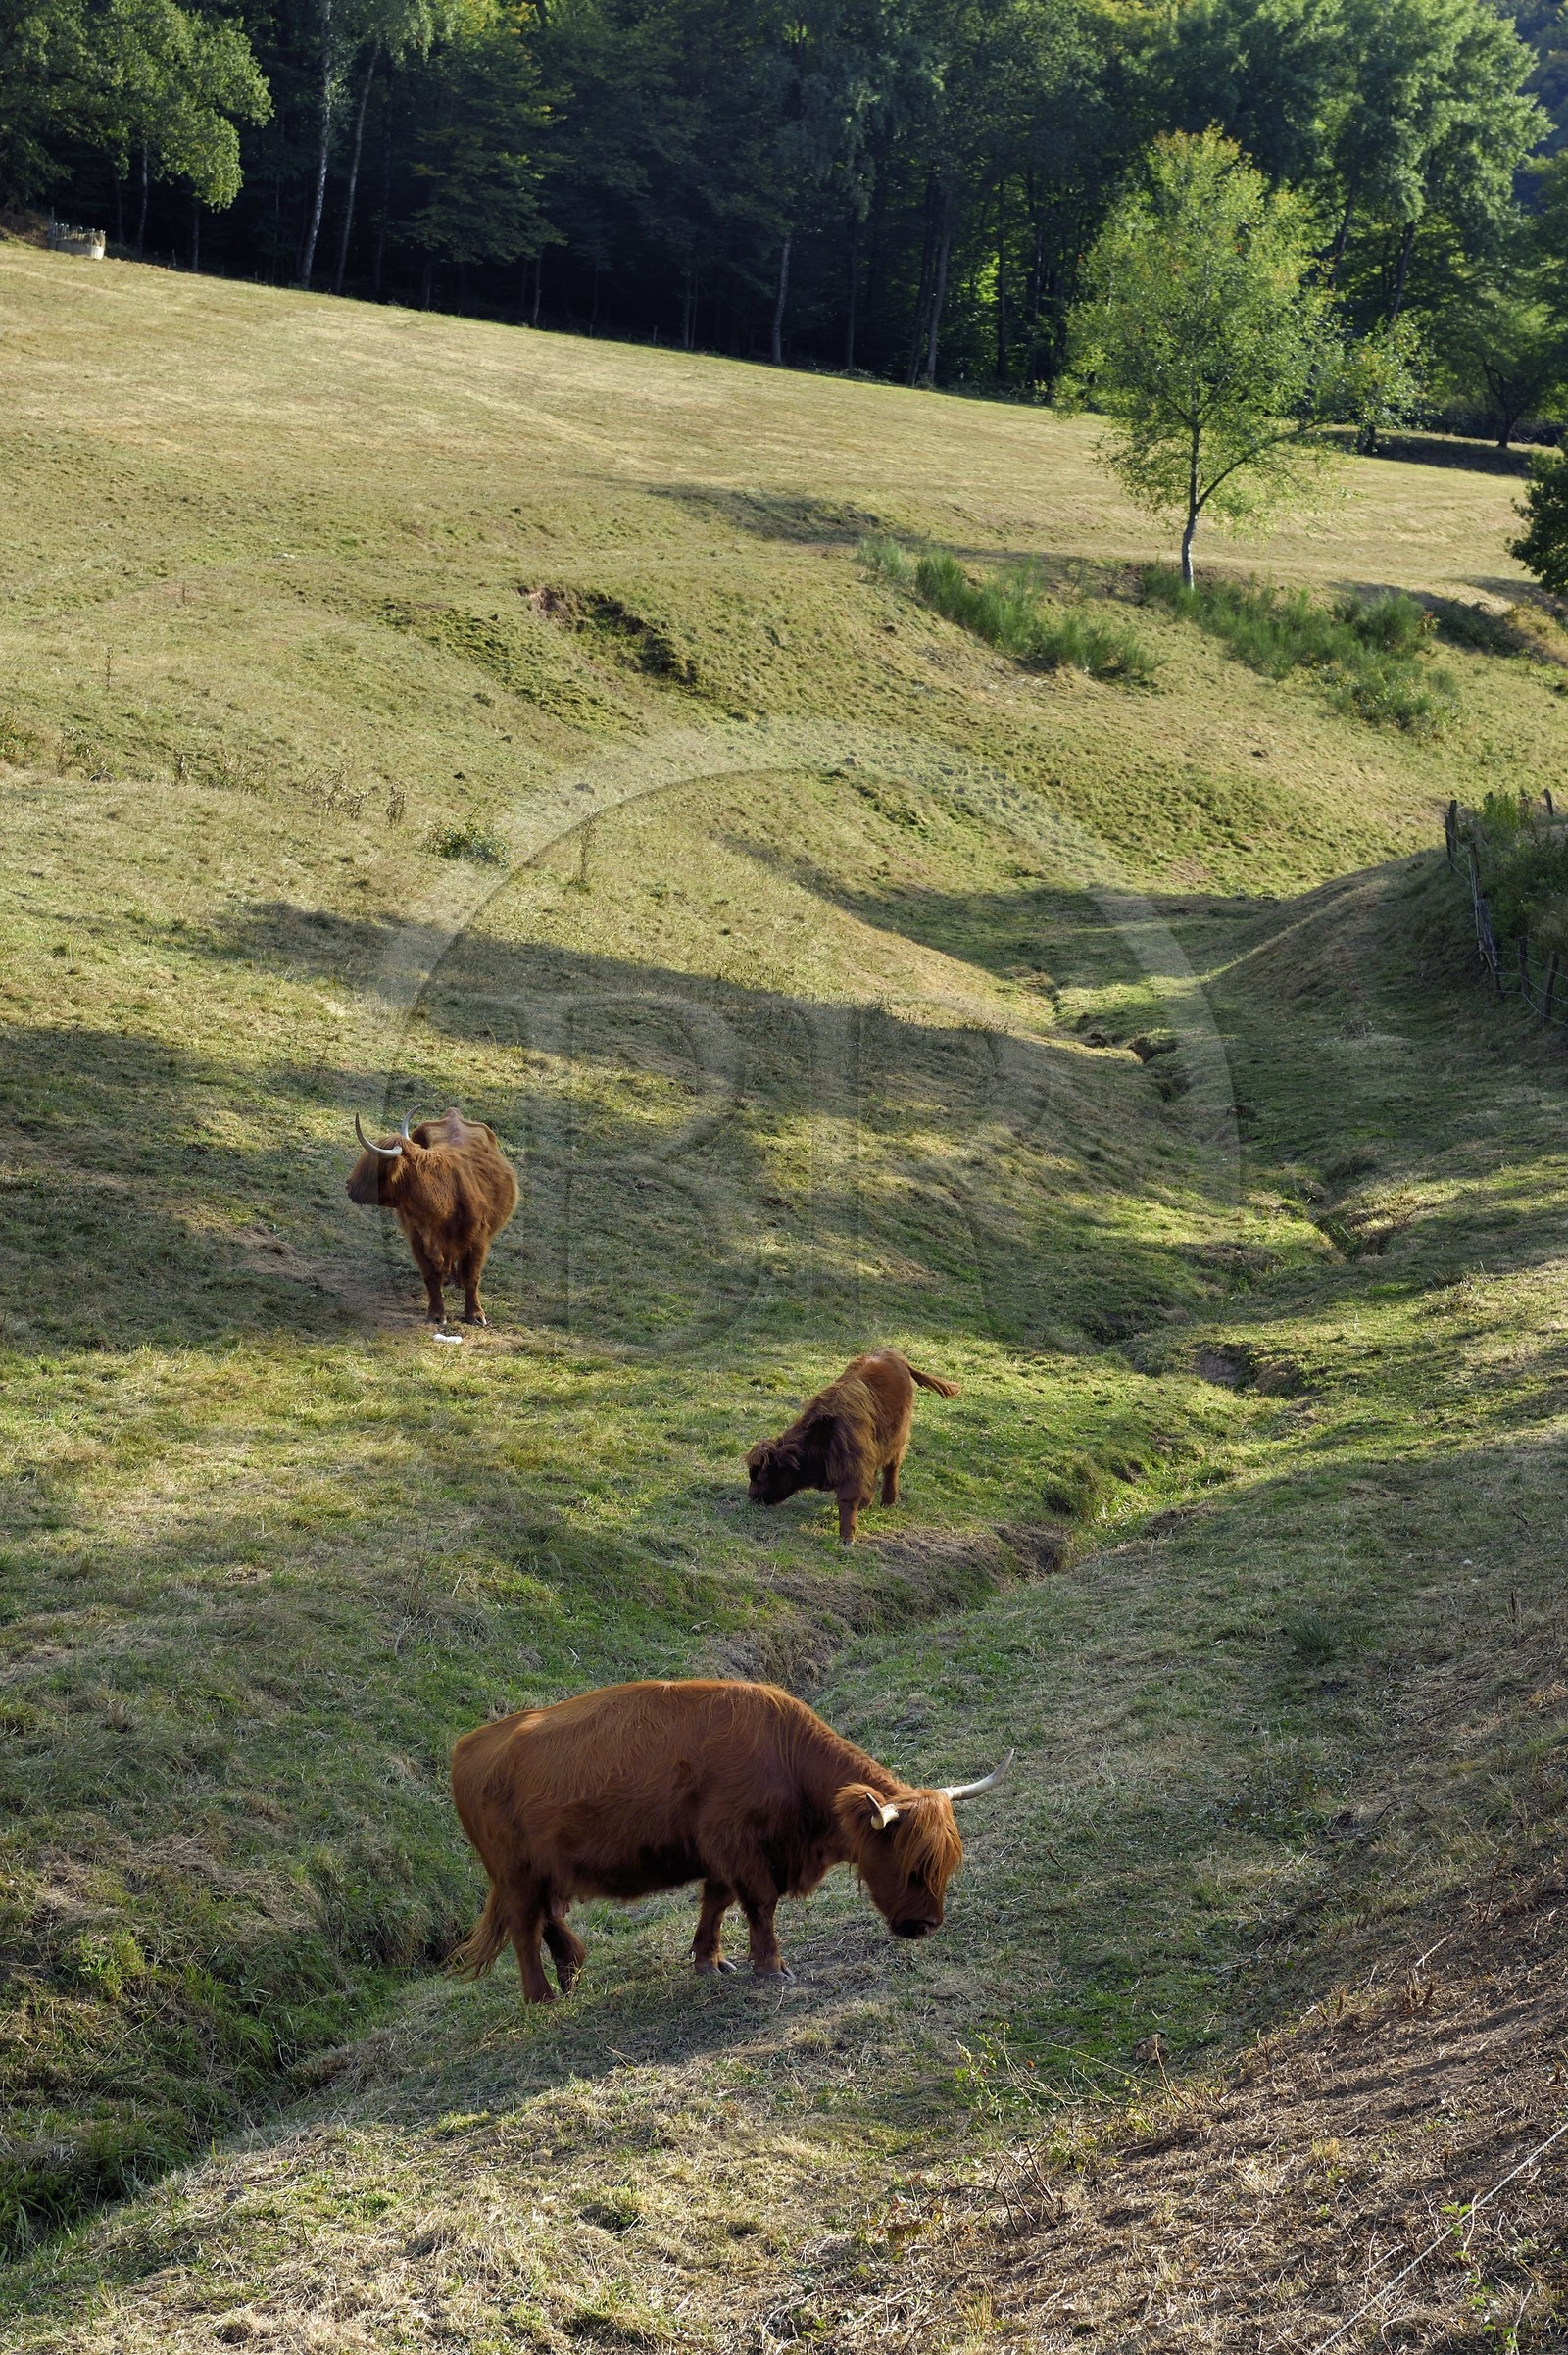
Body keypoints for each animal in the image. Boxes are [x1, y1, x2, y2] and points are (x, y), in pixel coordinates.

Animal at [345, 1105, 519, 1325]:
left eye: (372, 1169)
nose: (348, 1186)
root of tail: (453, 1113)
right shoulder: (418, 1239)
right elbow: (431, 1276)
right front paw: (436, 1315)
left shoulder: (478, 1240)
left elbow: (472, 1276)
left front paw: (475, 1314)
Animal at [450, 1677, 1010, 2000]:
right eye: (912, 1866)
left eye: (945, 1866)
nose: (926, 1925)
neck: (785, 1756)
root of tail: (469, 1746)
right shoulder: (741, 1849)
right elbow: (759, 1904)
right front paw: (772, 1967)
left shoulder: (721, 1856)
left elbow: (715, 1904)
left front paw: (710, 1961)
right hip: (516, 1876)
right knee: (525, 1929)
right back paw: (542, 1996)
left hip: (542, 1874)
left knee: (548, 1920)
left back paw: (572, 1979)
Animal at [745, 1349, 960, 1545]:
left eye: (761, 1477)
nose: (752, 1497)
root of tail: (896, 1355)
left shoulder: (853, 1468)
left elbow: (847, 1500)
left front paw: (847, 1537)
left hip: (897, 1439)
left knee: (891, 1468)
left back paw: (888, 1502)